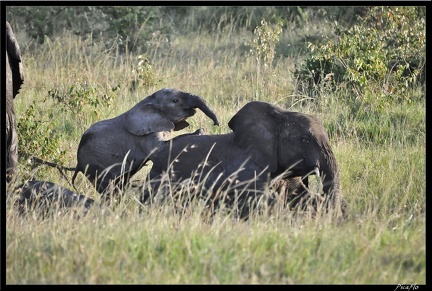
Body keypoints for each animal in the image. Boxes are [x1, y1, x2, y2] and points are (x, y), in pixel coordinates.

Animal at [72, 88, 219, 198]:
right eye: (175, 100)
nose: (216, 123)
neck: (149, 101)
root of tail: (78, 164)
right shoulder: (144, 136)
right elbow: (161, 149)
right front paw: (200, 131)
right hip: (94, 165)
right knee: (109, 189)